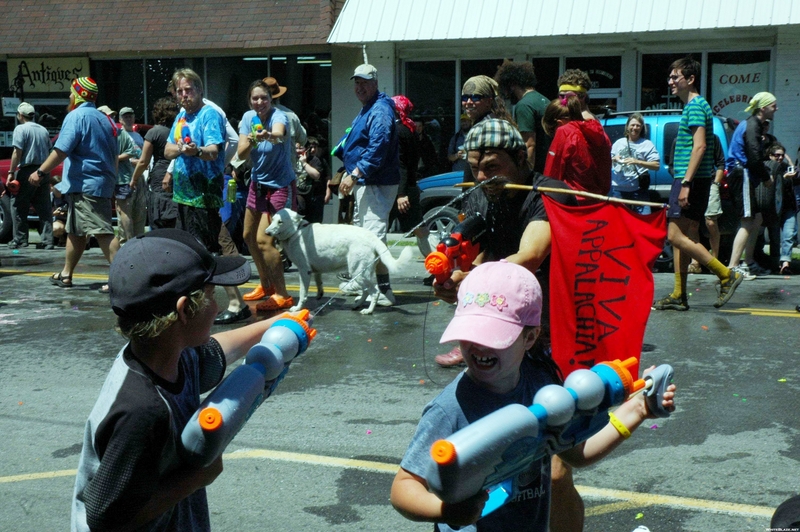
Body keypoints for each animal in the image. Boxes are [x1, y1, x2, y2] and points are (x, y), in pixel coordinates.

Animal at [268, 208, 416, 314]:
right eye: (272, 219)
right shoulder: (315, 271)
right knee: (366, 291)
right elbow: (319, 283)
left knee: (374, 292)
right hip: (360, 273)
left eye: (280, 222)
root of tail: (372, 236)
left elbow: (303, 293)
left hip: (358, 273)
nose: (266, 232)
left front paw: (298, 308)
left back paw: (369, 310)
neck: (296, 230)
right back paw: (357, 305)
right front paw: (319, 294)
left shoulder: (304, 271)